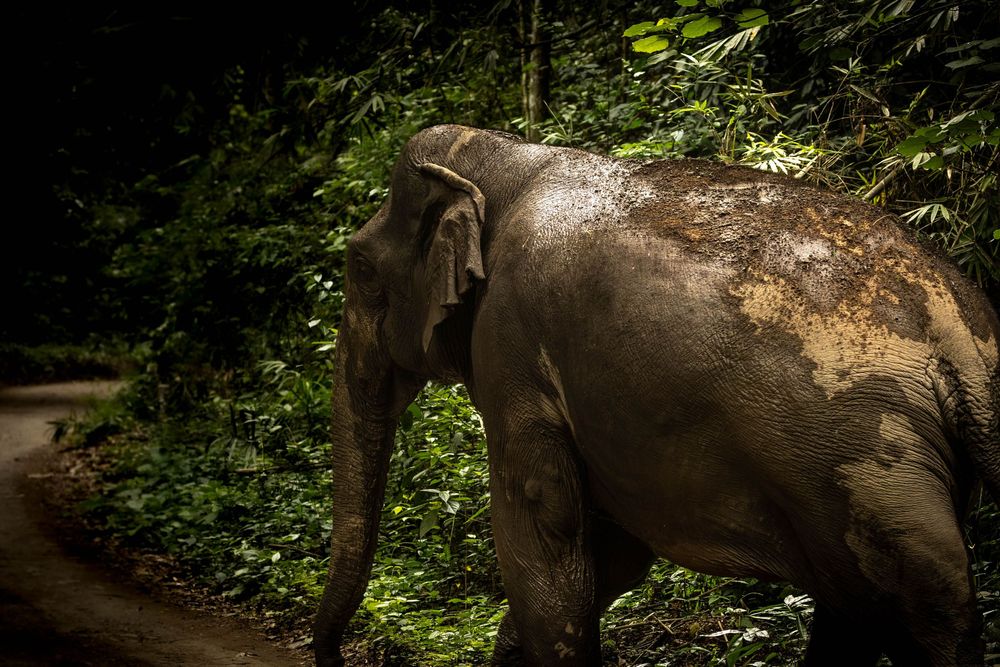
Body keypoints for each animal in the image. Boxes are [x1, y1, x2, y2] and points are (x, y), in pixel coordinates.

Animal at [313, 124, 1000, 666]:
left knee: (925, 604)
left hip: (866, 466)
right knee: (856, 609)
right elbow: (615, 550)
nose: (334, 656)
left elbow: (542, 516)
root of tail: (964, 337)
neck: (510, 157)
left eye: (360, 270)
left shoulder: (510, 344)